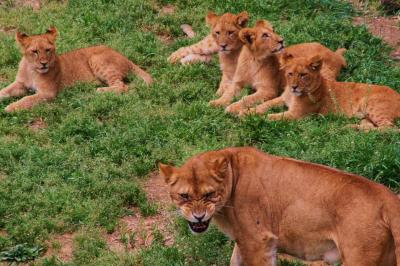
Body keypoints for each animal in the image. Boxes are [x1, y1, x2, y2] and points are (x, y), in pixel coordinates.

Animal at [0, 26, 153, 111]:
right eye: (35, 51)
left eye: (48, 50)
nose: (44, 64)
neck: (32, 70)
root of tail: (125, 57)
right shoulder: (20, 84)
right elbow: (5, 90)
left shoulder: (48, 93)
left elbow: (27, 99)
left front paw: (10, 107)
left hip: (96, 59)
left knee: (122, 86)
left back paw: (101, 91)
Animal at [159, 147, 400, 264]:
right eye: (184, 196)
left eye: (209, 194)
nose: (198, 216)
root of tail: (387, 196)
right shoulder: (247, 240)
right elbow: (234, 260)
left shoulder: (258, 241)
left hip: (360, 258)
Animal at [253, 54, 400, 131]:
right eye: (290, 74)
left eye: (303, 75)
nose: (294, 87)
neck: (293, 95)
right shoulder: (283, 99)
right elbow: (265, 105)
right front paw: (249, 111)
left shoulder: (297, 114)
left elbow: (273, 116)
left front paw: (256, 119)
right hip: (365, 116)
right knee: (370, 125)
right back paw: (350, 127)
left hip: (371, 105)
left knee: (390, 129)